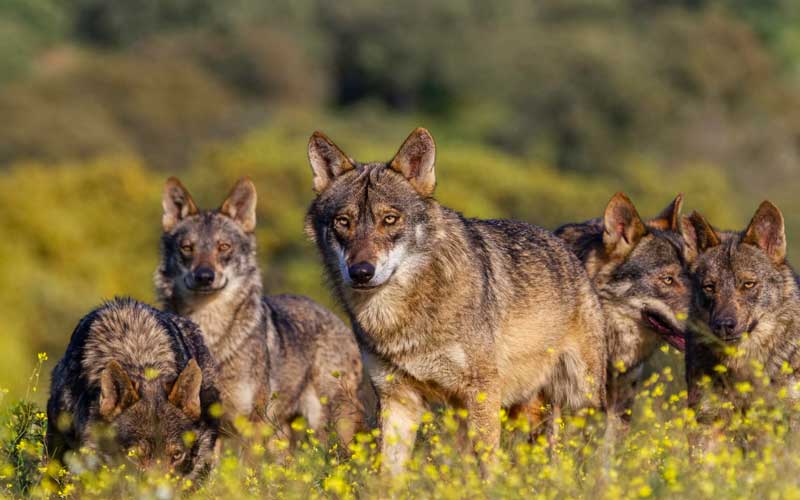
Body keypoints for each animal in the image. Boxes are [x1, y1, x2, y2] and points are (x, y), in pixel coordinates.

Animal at [155, 177, 364, 446]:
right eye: (187, 248)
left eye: (224, 247)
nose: (204, 276)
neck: (210, 333)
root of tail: (339, 321)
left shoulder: (251, 423)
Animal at [304, 128, 607, 474]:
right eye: (343, 221)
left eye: (390, 219)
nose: (361, 272)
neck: (400, 316)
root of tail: (564, 245)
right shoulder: (397, 398)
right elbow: (388, 474)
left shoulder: (482, 392)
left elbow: (488, 467)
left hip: (581, 398)